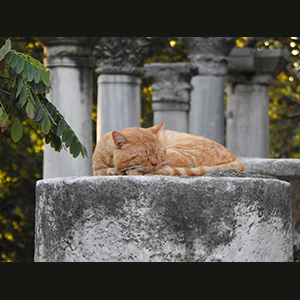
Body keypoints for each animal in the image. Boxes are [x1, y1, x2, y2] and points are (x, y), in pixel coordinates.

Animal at [92, 122, 245, 176]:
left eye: (158, 153)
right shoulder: (96, 169)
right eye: (144, 155)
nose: (155, 163)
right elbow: (102, 171)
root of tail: (236, 158)